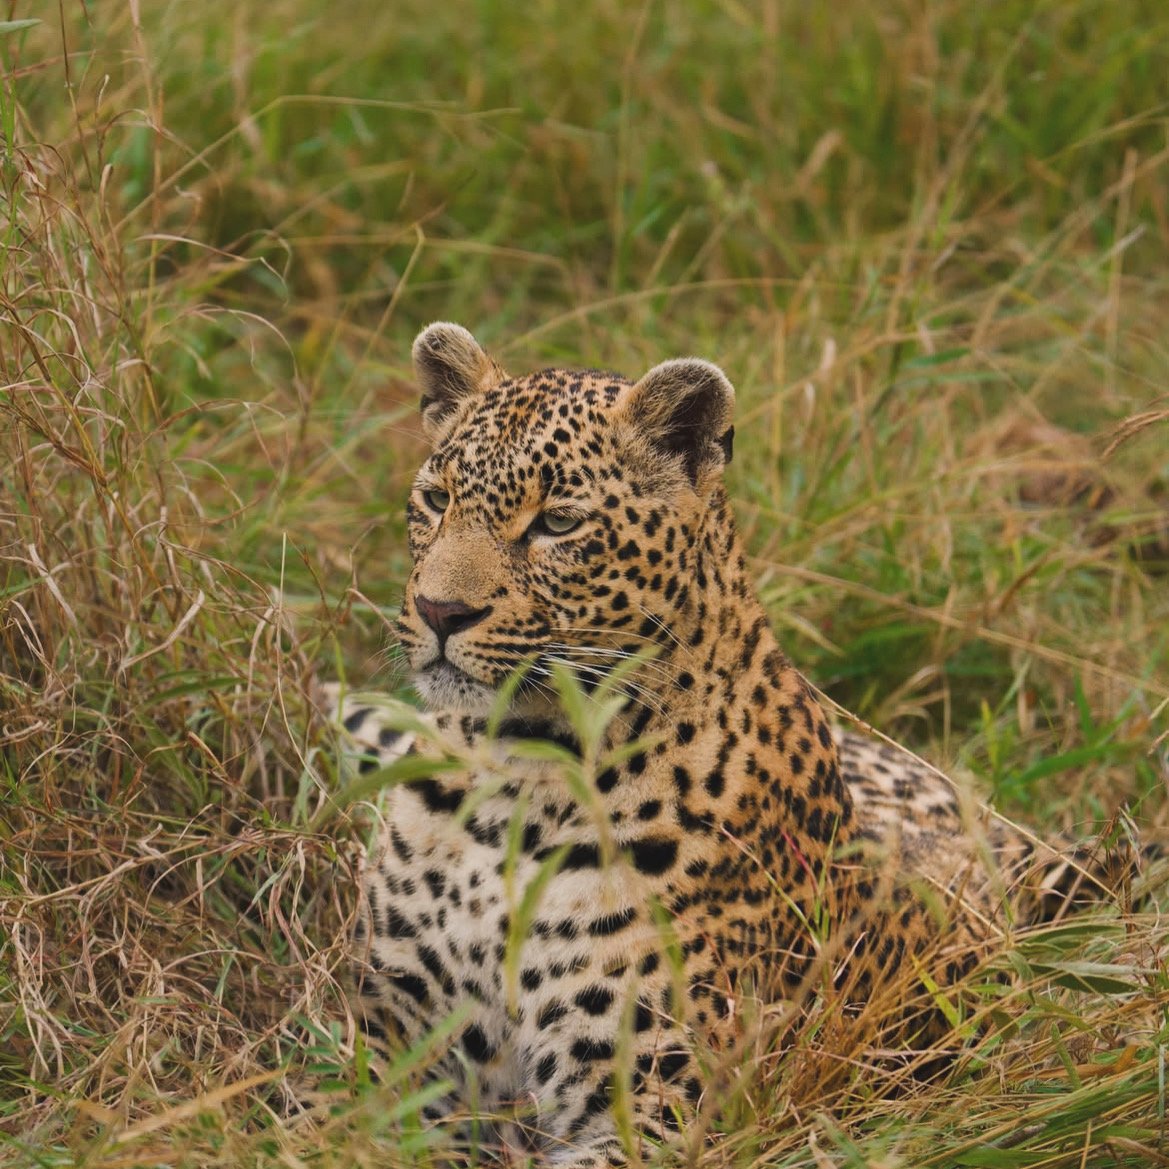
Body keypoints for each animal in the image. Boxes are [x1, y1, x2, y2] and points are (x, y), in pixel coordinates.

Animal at [326, 322, 1152, 1167]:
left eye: (557, 523)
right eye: (436, 499)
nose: (439, 610)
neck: (511, 771)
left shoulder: (652, 1107)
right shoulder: (397, 1039)